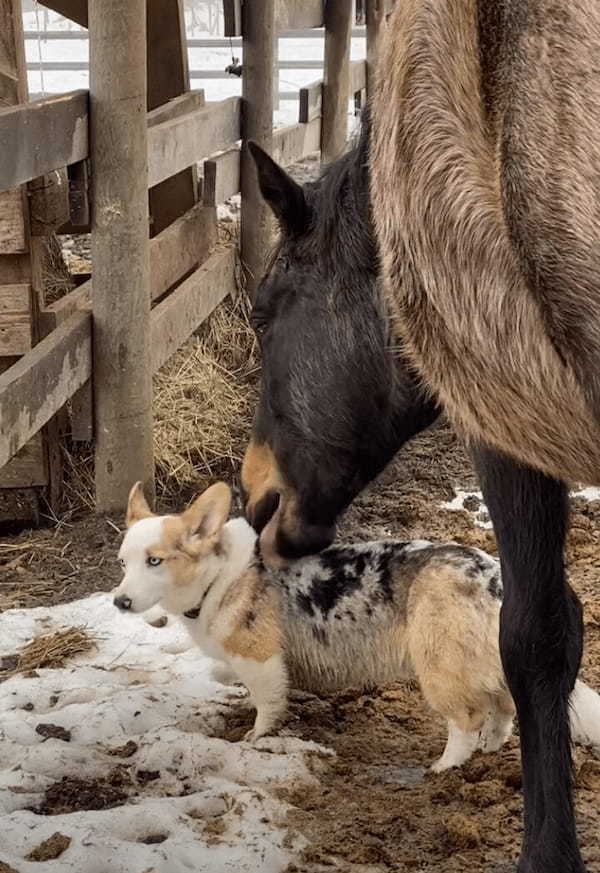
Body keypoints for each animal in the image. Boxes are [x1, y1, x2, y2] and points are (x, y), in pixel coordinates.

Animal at [113, 476, 600, 768]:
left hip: (440, 670)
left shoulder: (262, 662)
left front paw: (253, 738)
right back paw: (490, 751)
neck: (218, 577)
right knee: (503, 710)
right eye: (122, 562)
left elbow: (266, 705)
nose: (119, 602)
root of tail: (494, 579)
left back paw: (445, 768)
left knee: (468, 719)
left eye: (155, 560)